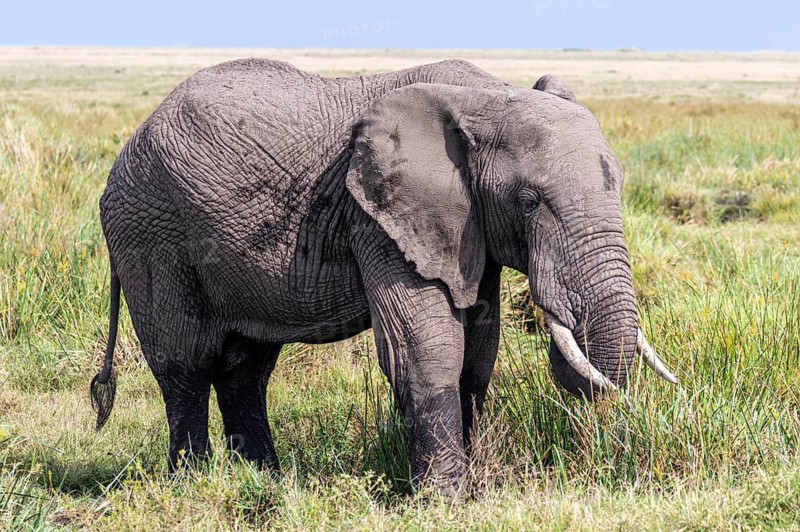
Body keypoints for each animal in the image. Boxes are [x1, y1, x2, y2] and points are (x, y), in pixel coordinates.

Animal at [90, 58, 677, 491]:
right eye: (529, 202)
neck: (489, 97)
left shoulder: (464, 225)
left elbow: (477, 352)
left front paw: (470, 490)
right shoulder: (377, 213)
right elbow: (427, 348)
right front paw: (443, 501)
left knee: (245, 367)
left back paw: (265, 481)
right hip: (151, 233)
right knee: (186, 363)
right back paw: (194, 485)